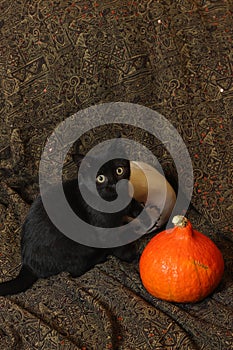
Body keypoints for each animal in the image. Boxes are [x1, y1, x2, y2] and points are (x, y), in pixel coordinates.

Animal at [0, 139, 148, 296]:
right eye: (100, 178)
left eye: (119, 170)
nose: (114, 184)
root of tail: (27, 265)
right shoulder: (105, 230)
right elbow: (118, 246)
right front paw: (133, 257)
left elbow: (133, 204)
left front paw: (145, 213)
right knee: (75, 271)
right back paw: (101, 256)